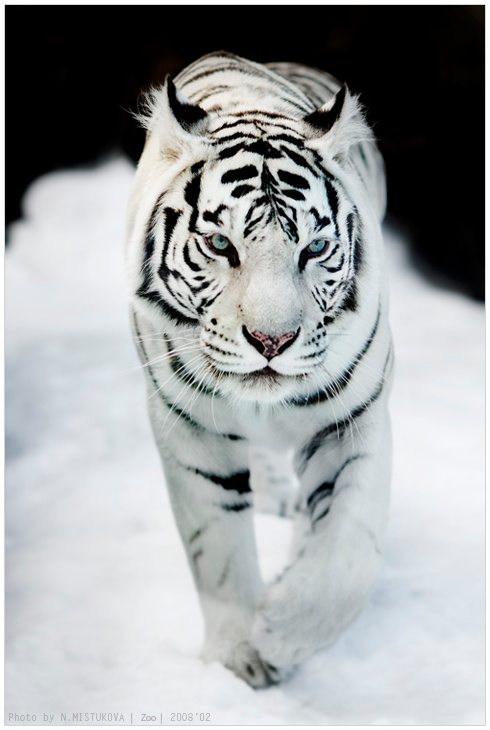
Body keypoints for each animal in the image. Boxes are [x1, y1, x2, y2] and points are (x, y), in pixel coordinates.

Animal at [125, 51, 393, 688]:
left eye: (314, 248)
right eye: (221, 245)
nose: (273, 340)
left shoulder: (355, 418)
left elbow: (349, 548)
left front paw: (283, 630)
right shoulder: (189, 430)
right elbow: (217, 549)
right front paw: (240, 659)